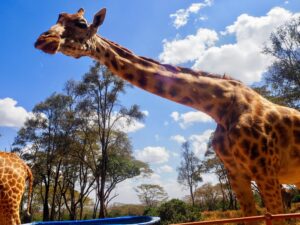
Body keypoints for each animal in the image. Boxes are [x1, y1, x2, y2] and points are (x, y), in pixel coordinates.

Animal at [35, 7, 300, 224]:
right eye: (58, 17)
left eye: (81, 23)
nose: (42, 40)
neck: (220, 107)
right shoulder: (237, 175)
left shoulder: (265, 171)